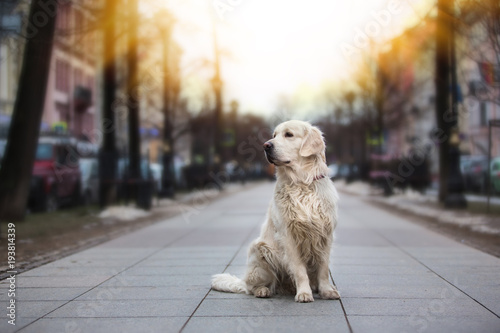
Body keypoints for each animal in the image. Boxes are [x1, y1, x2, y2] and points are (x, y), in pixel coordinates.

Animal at [211, 120, 340, 302]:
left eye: (289, 134)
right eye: (273, 135)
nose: (266, 145)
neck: (302, 182)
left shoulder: (326, 234)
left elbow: (323, 268)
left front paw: (327, 290)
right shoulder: (288, 236)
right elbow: (299, 269)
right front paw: (304, 293)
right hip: (260, 249)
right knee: (252, 287)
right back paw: (263, 290)